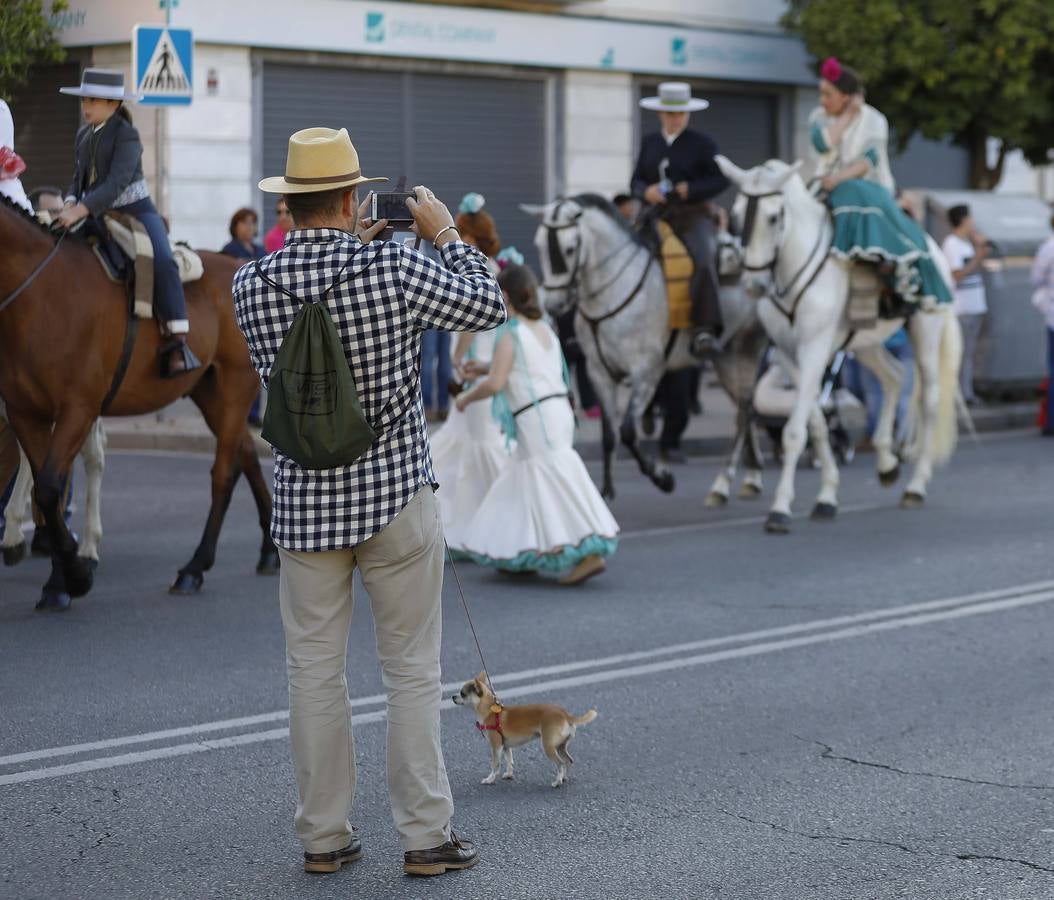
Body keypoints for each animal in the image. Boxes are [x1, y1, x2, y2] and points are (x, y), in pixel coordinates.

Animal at [524, 194, 767, 503]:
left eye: (569, 248)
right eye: (539, 245)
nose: (554, 305)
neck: (614, 290)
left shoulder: (647, 371)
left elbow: (628, 431)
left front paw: (662, 477)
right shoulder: (599, 372)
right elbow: (609, 436)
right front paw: (606, 492)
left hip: (748, 347)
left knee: (746, 410)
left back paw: (734, 480)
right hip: (726, 357)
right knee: (745, 410)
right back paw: (748, 478)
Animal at [716, 158, 965, 531]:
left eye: (774, 217)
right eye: (734, 216)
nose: (754, 285)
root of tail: (933, 246)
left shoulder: (815, 348)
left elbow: (794, 431)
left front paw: (780, 509)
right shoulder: (788, 353)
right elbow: (816, 425)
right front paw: (826, 496)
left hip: (926, 331)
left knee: (930, 401)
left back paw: (915, 486)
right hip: (865, 343)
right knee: (893, 377)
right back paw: (886, 464)